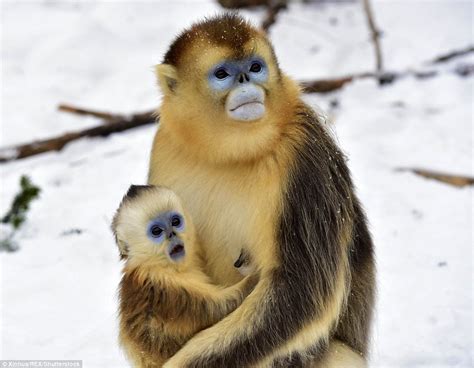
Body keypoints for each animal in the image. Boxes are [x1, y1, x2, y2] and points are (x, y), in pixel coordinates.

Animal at [112, 187, 258, 368]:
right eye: (156, 231)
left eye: (175, 221)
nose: (172, 234)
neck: (163, 266)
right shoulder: (164, 286)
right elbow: (217, 308)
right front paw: (256, 274)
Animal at [148, 12, 374, 366]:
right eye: (223, 74)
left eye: (255, 67)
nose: (245, 81)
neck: (231, 155)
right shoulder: (164, 147)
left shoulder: (304, 157)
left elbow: (300, 290)